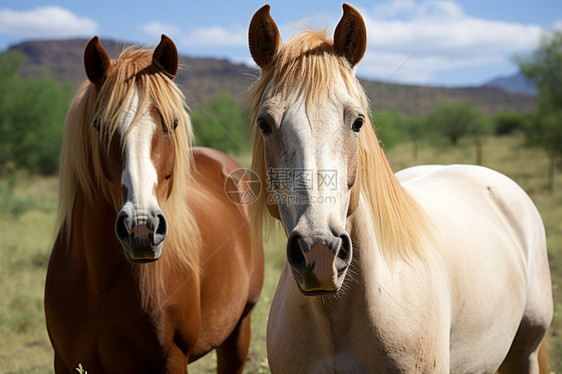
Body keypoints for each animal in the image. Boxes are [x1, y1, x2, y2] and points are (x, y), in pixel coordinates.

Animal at [44, 34, 262, 372]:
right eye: (99, 126)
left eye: (172, 123)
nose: (141, 228)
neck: (100, 282)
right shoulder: (65, 362)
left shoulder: (171, 358)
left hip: (238, 331)